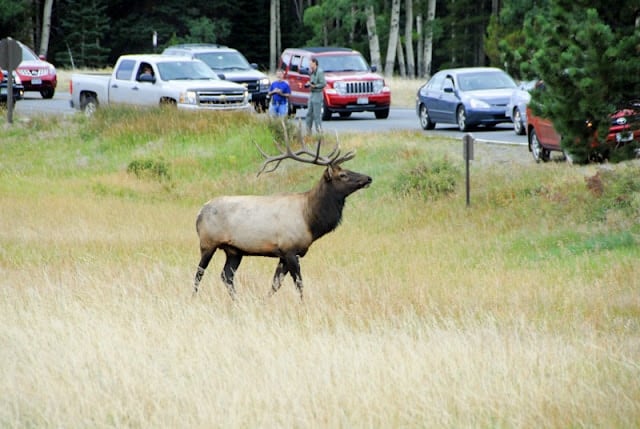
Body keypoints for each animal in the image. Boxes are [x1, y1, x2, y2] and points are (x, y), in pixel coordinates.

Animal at [192, 123, 370, 298]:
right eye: (343, 175)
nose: (368, 178)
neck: (310, 221)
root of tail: (199, 213)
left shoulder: (285, 254)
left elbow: (275, 284)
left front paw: (264, 301)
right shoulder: (289, 249)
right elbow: (299, 283)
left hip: (234, 250)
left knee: (226, 275)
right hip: (208, 242)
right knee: (199, 273)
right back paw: (194, 298)